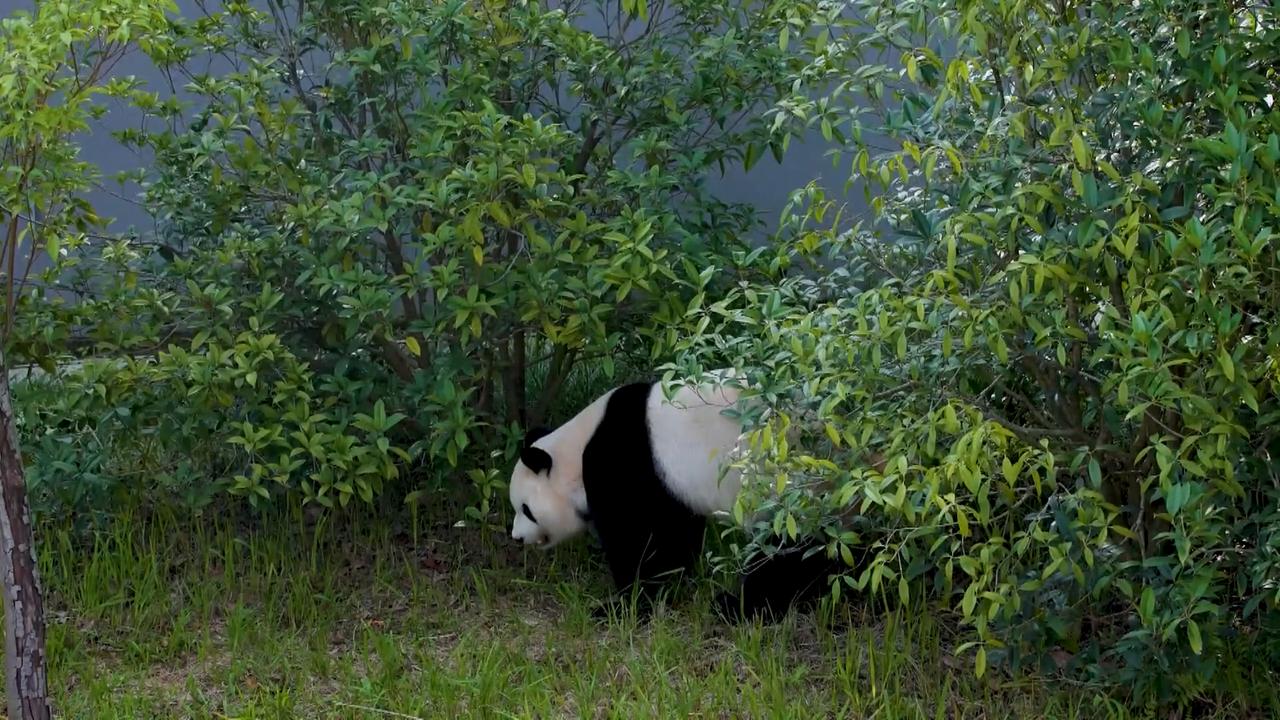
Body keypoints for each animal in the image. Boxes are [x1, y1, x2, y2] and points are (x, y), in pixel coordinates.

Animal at [507, 372, 843, 621]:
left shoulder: (624, 464)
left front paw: (621, 606)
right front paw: (674, 582)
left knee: (792, 550)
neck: (575, 452)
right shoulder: (672, 488)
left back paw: (738, 607)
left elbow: (637, 540)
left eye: (526, 509)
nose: (517, 538)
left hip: (791, 493)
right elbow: (676, 535)